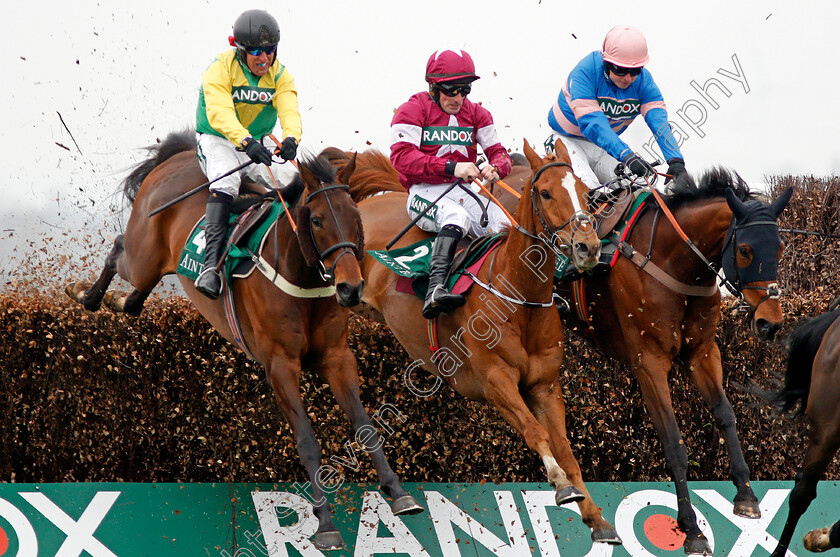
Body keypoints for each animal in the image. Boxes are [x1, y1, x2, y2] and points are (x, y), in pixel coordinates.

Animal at [65, 129, 420, 548]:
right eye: (316, 220)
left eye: (356, 217)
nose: (350, 288)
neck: (302, 279)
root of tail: (177, 155)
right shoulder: (280, 364)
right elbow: (308, 442)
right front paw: (325, 524)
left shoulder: (337, 357)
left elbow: (367, 428)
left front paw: (399, 494)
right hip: (144, 257)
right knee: (119, 248)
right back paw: (85, 294)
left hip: (150, 269)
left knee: (135, 298)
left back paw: (117, 299)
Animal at [328, 138, 624, 544]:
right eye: (546, 193)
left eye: (583, 192)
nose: (588, 247)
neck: (519, 296)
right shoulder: (495, 382)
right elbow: (535, 432)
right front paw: (561, 485)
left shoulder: (545, 386)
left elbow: (566, 450)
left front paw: (596, 518)